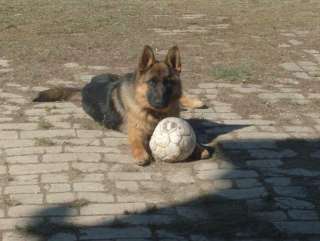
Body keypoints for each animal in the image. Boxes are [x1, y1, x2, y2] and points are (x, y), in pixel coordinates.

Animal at [33, 45, 209, 165]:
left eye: (168, 83)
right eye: (152, 82)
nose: (160, 102)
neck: (154, 113)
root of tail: (85, 86)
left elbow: (194, 140)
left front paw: (199, 148)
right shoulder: (135, 132)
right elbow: (136, 143)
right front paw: (140, 154)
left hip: (119, 77)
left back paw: (194, 102)